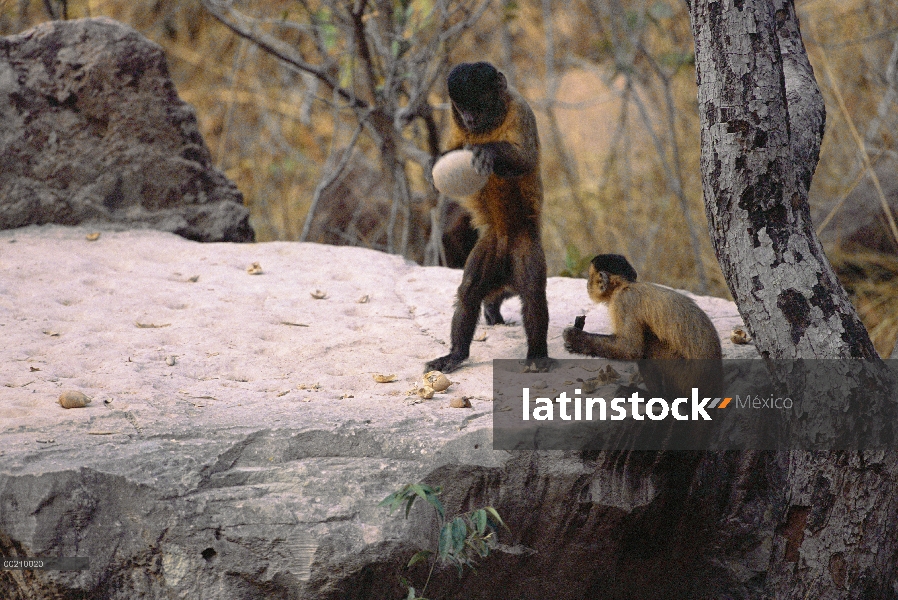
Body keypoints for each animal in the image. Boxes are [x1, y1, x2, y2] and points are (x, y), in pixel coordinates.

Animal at [426, 64, 548, 376]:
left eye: (478, 106)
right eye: (463, 108)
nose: (469, 119)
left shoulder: (520, 108)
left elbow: (525, 158)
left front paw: (488, 152)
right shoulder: (456, 124)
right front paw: (437, 163)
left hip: (525, 241)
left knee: (531, 293)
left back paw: (536, 353)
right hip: (490, 244)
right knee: (471, 290)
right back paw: (457, 353)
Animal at [564, 253, 724, 398]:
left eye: (590, 278)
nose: (587, 284)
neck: (626, 286)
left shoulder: (624, 300)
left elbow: (629, 349)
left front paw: (576, 338)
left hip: (683, 379)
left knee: (648, 347)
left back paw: (657, 397)